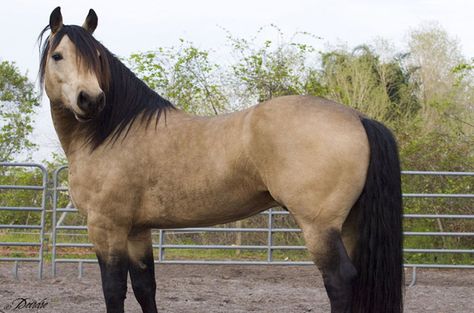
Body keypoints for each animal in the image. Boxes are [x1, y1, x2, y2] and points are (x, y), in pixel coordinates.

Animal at [39, 6, 404, 312]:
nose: (91, 100)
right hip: (350, 225)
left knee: (339, 280)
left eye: (97, 56)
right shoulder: (136, 230)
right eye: (58, 56)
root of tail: (358, 117)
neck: (111, 133)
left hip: (319, 227)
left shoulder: (106, 227)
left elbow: (113, 290)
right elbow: (145, 288)